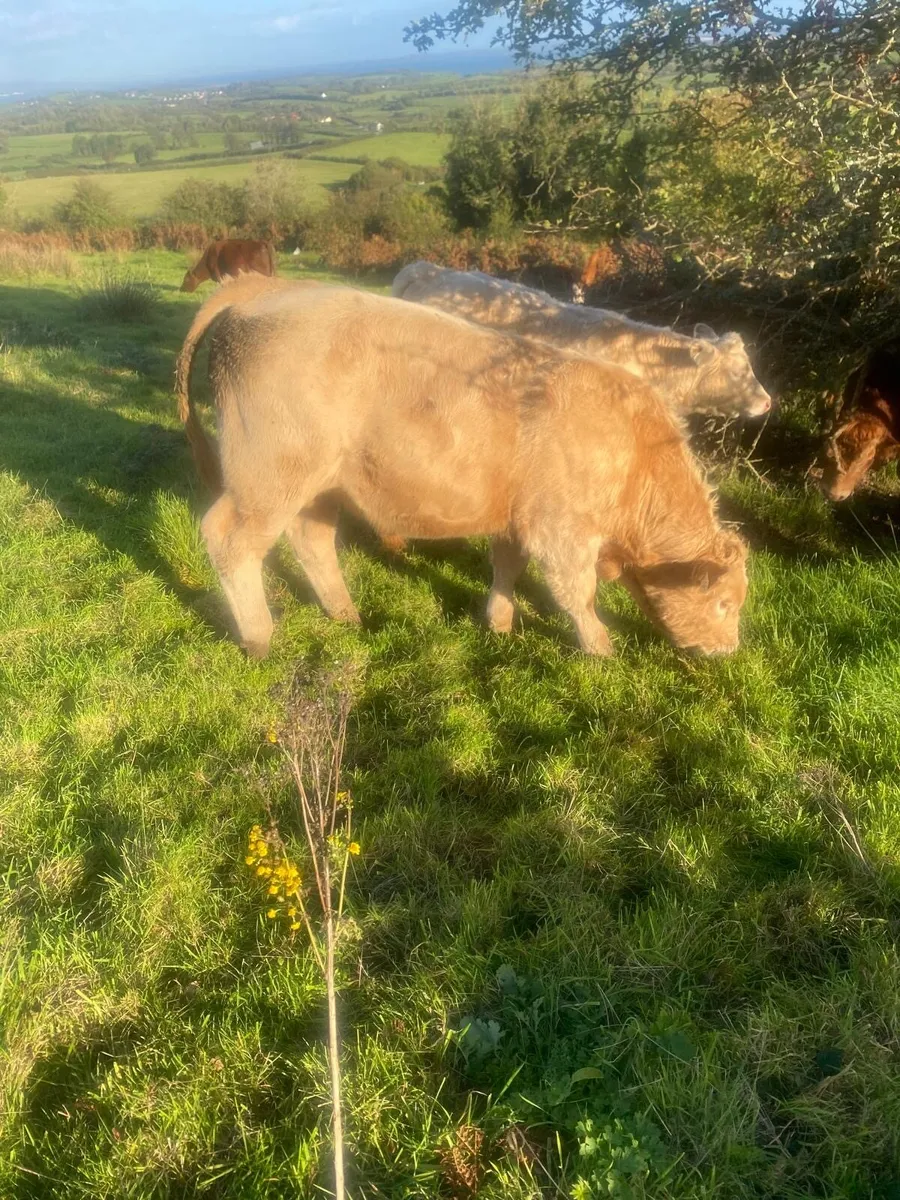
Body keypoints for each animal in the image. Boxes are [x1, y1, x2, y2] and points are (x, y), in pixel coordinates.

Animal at [175, 276, 749, 660]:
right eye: (724, 603)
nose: (727, 652)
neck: (635, 455)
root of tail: (265, 289)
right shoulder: (563, 532)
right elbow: (576, 594)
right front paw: (600, 648)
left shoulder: (517, 518)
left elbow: (507, 568)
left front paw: (499, 623)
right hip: (267, 477)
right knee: (230, 541)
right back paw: (259, 637)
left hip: (316, 484)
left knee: (311, 539)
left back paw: (345, 614)